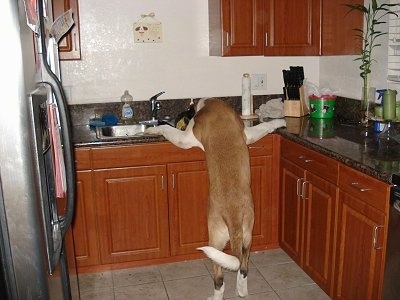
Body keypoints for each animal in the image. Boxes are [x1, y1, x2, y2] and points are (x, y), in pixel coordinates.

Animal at [145, 98, 286, 298]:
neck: (210, 105)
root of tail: (233, 218)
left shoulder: (186, 138)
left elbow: (168, 130)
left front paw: (153, 129)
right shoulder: (247, 133)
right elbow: (265, 126)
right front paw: (280, 123)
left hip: (215, 240)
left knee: (219, 278)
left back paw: (215, 296)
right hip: (248, 237)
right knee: (243, 267)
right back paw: (242, 291)